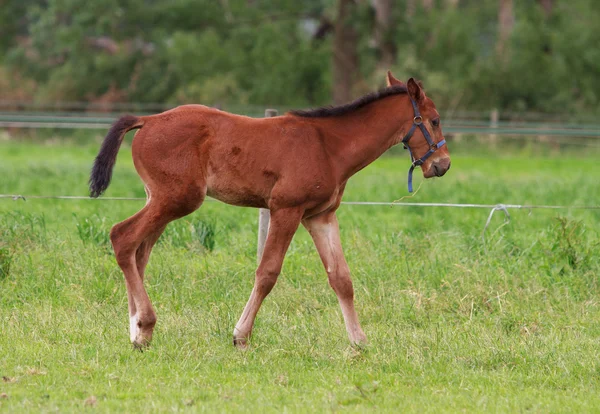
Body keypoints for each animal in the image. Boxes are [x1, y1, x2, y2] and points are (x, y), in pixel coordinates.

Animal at [89, 73, 450, 348]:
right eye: (434, 120)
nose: (442, 164)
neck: (328, 146)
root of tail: (147, 119)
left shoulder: (320, 216)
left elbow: (341, 278)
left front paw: (359, 342)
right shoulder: (286, 210)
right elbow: (267, 273)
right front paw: (241, 336)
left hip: (161, 200)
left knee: (140, 251)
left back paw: (138, 331)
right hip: (176, 199)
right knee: (123, 237)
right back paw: (145, 325)